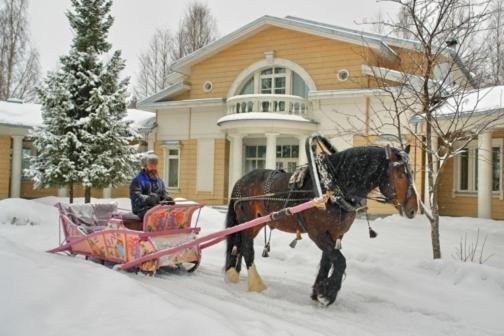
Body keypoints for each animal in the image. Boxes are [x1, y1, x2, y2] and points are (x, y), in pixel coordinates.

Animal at [224, 144, 418, 304]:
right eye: (400, 174)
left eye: (412, 173)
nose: (413, 209)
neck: (332, 189)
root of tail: (241, 180)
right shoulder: (317, 233)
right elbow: (340, 261)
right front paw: (328, 294)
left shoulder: (334, 234)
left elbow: (328, 261)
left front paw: (319, 291)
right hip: (247, 221)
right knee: (247, 248)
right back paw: (256, 283)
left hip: (253, 224)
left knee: (239, 245)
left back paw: (233, 273)